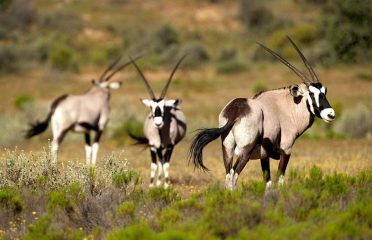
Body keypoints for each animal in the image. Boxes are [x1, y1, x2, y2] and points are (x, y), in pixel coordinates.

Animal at [129, 55, 187, 188]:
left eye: (164, 106)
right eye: (151, 107)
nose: (158, 123)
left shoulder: (170, 146)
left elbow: (166, 165)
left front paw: (165, 186)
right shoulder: (154, 146)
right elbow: (155, 165)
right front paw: (152, 186)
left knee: (163, 162)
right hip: (157, 148)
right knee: (159, 162)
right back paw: (158, 182)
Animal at [190, 37, 336, 190]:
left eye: (324, 91)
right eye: (311, 94)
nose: (330, 114)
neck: (287, 107)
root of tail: (235, 111)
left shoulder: (264, 156)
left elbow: (268, 182)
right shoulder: (286, 150)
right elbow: (280, 180)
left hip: (227, 149)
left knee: (228, 175)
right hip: (244, 152)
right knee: (234, 175)